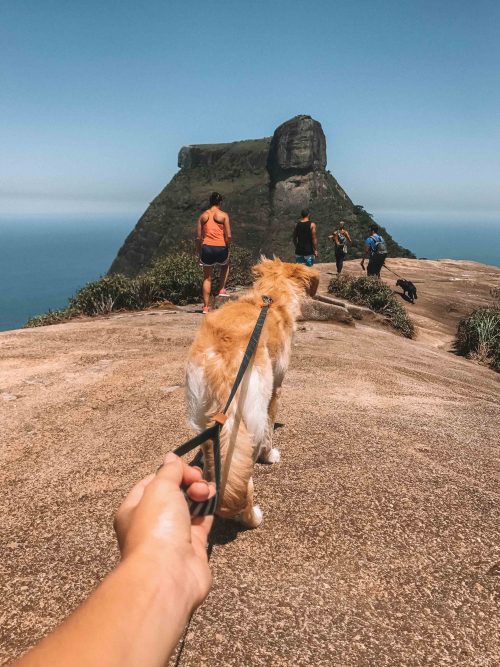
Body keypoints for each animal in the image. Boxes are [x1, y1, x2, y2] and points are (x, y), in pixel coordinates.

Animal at [186, 258, 318, 528]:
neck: (272, 296)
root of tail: (221, 362)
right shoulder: (276, 388)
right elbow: (269, 428)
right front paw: (270, 455)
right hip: (253, 404)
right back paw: (251, 517)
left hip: (203, 410)